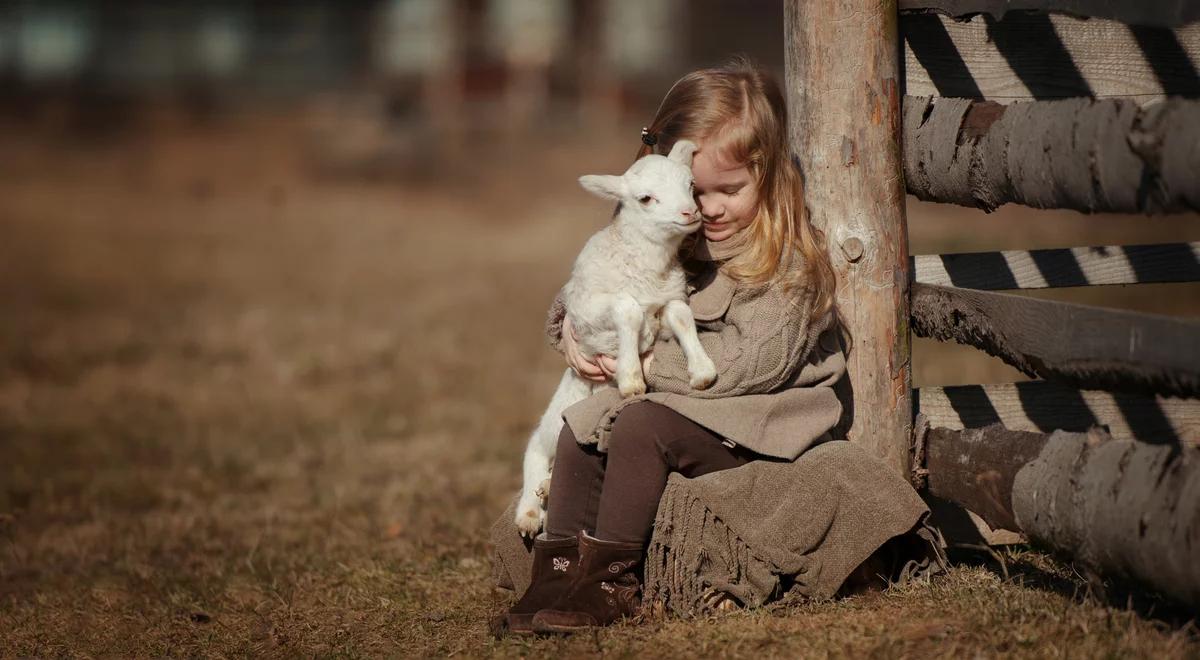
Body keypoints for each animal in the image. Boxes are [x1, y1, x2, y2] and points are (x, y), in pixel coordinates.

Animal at [513, 139, 715, 537]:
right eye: (645, 198)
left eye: (690, 185)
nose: (690, 213)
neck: (647, 267)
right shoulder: (588, 311)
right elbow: (628, 309)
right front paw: (631, 378)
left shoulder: (670, 298)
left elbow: (682, 317)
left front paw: (702, 371)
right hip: (555, 419)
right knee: (534, 450)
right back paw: (529, 511)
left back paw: (546, 490)